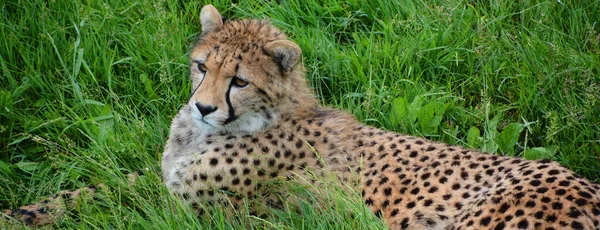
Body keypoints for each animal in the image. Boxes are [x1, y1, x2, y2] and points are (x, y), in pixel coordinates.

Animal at [4, 4, 600, 230]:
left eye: (239, 81)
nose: (202, 105)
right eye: (202, 67)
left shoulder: (212, 215)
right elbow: (95, 188)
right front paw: (23, 210)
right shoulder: (165, 182)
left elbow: (121, 204)